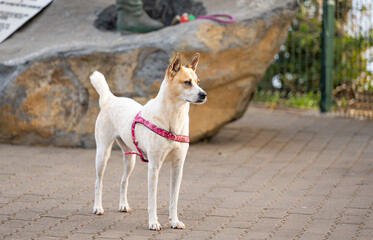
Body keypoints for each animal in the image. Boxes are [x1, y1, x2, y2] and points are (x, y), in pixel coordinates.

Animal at [90, 53, 206, 231]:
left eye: (198, 82)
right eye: (187, 82)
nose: (203, 94)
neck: (174, 116)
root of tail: (111, 99)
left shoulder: (178, 167)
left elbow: (174, 200)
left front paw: (174, 221)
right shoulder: (154, 166)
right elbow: (152, 200)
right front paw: (153, 222)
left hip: (129, 159)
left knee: (124, 181)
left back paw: (123, 205)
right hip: (102, 154)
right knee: (98, 182)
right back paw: (98, 207)